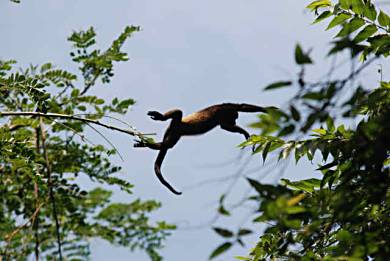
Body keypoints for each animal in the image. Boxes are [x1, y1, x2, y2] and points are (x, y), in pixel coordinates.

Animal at [134, 102, 274, 194]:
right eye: (234, 118)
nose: (235, 120)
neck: (224, 111)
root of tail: (171, 127)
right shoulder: (224, 109)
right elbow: (239, 108)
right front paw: (266, 110)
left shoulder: (225, 114)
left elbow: (232, 119)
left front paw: (245, 132)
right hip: (176, 125)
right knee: (178, 113)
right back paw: (159, 119)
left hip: (175, 133)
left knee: (167, 145)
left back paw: (148, 145)